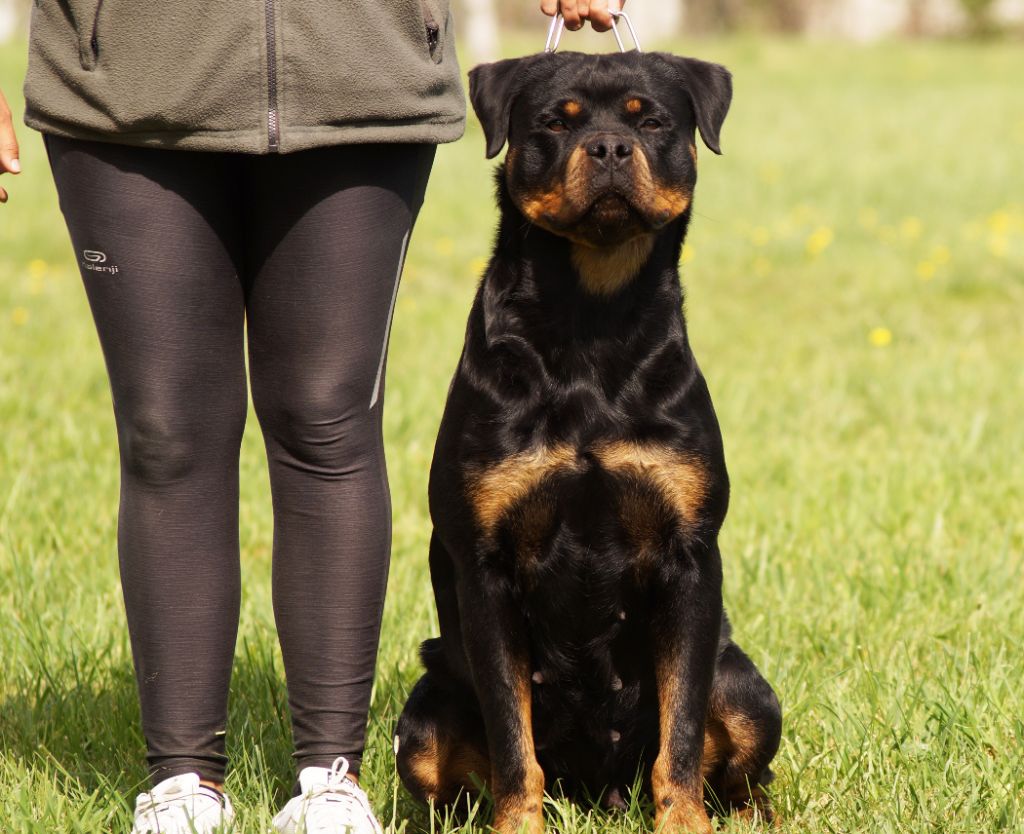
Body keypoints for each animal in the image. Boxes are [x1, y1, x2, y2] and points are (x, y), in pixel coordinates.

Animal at [395, 48, 778, 831]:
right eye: (555, 122)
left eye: (650, 120)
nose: (607, 148)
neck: (592, 320)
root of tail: (600, 791)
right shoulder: (485, 568)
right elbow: (512, 737)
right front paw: (518, 822)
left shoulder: (691, 558)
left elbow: (682, 729)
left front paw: (682, 819)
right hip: (422, 715)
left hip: (749, 691)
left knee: (743, 767)